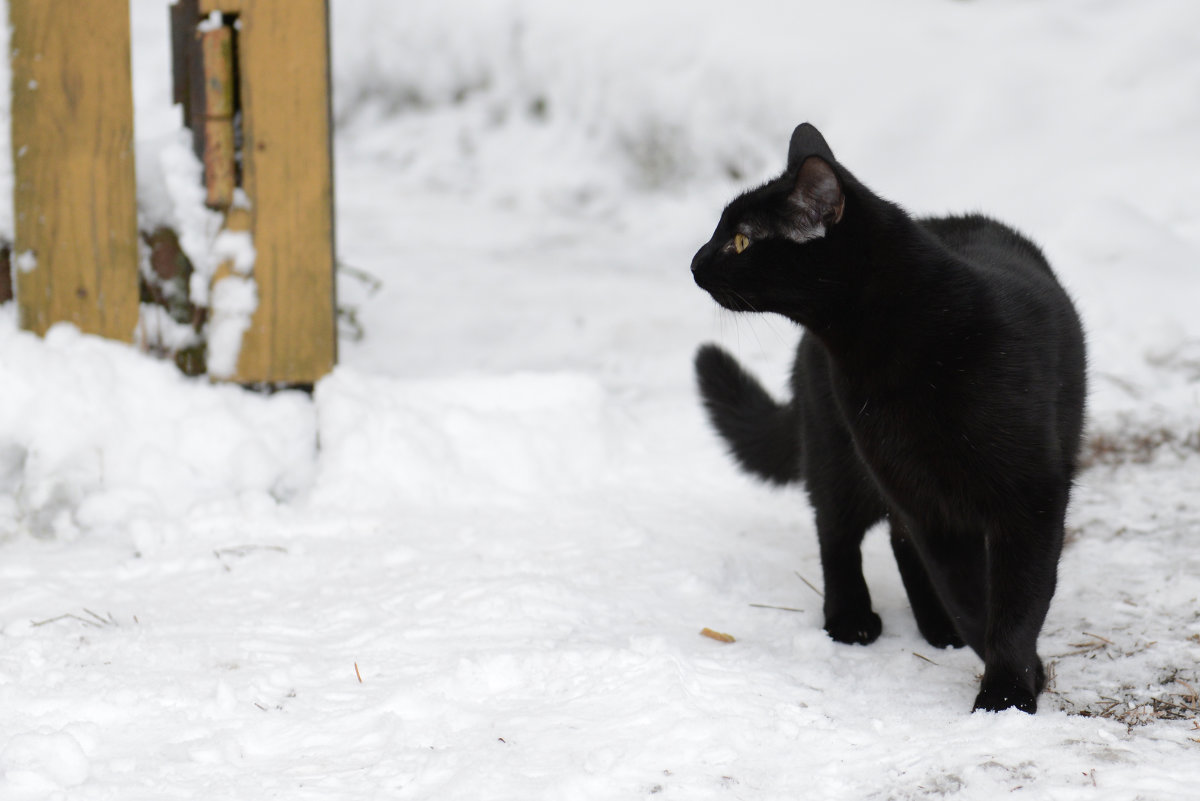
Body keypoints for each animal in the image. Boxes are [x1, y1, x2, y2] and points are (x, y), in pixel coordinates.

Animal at [686, 125, 1089, 714]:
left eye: (739, 240)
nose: (694, 261)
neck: (907, 344)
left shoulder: (1029, 498)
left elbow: (1015, 601)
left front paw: (1008, 690)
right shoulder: (925, 497)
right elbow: (970, 596)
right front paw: (1013, 678)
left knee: (895, 540)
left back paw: (935, 629)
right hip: (839, 450)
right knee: (837, 532)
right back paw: (851, 620)